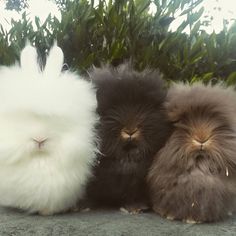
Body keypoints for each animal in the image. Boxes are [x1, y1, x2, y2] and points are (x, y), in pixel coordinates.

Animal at [148, 83, 236, 223]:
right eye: (182, 121)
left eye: (217, 121)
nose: (202, 138)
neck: (198, 167)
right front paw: (168, 215)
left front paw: (193, 219)